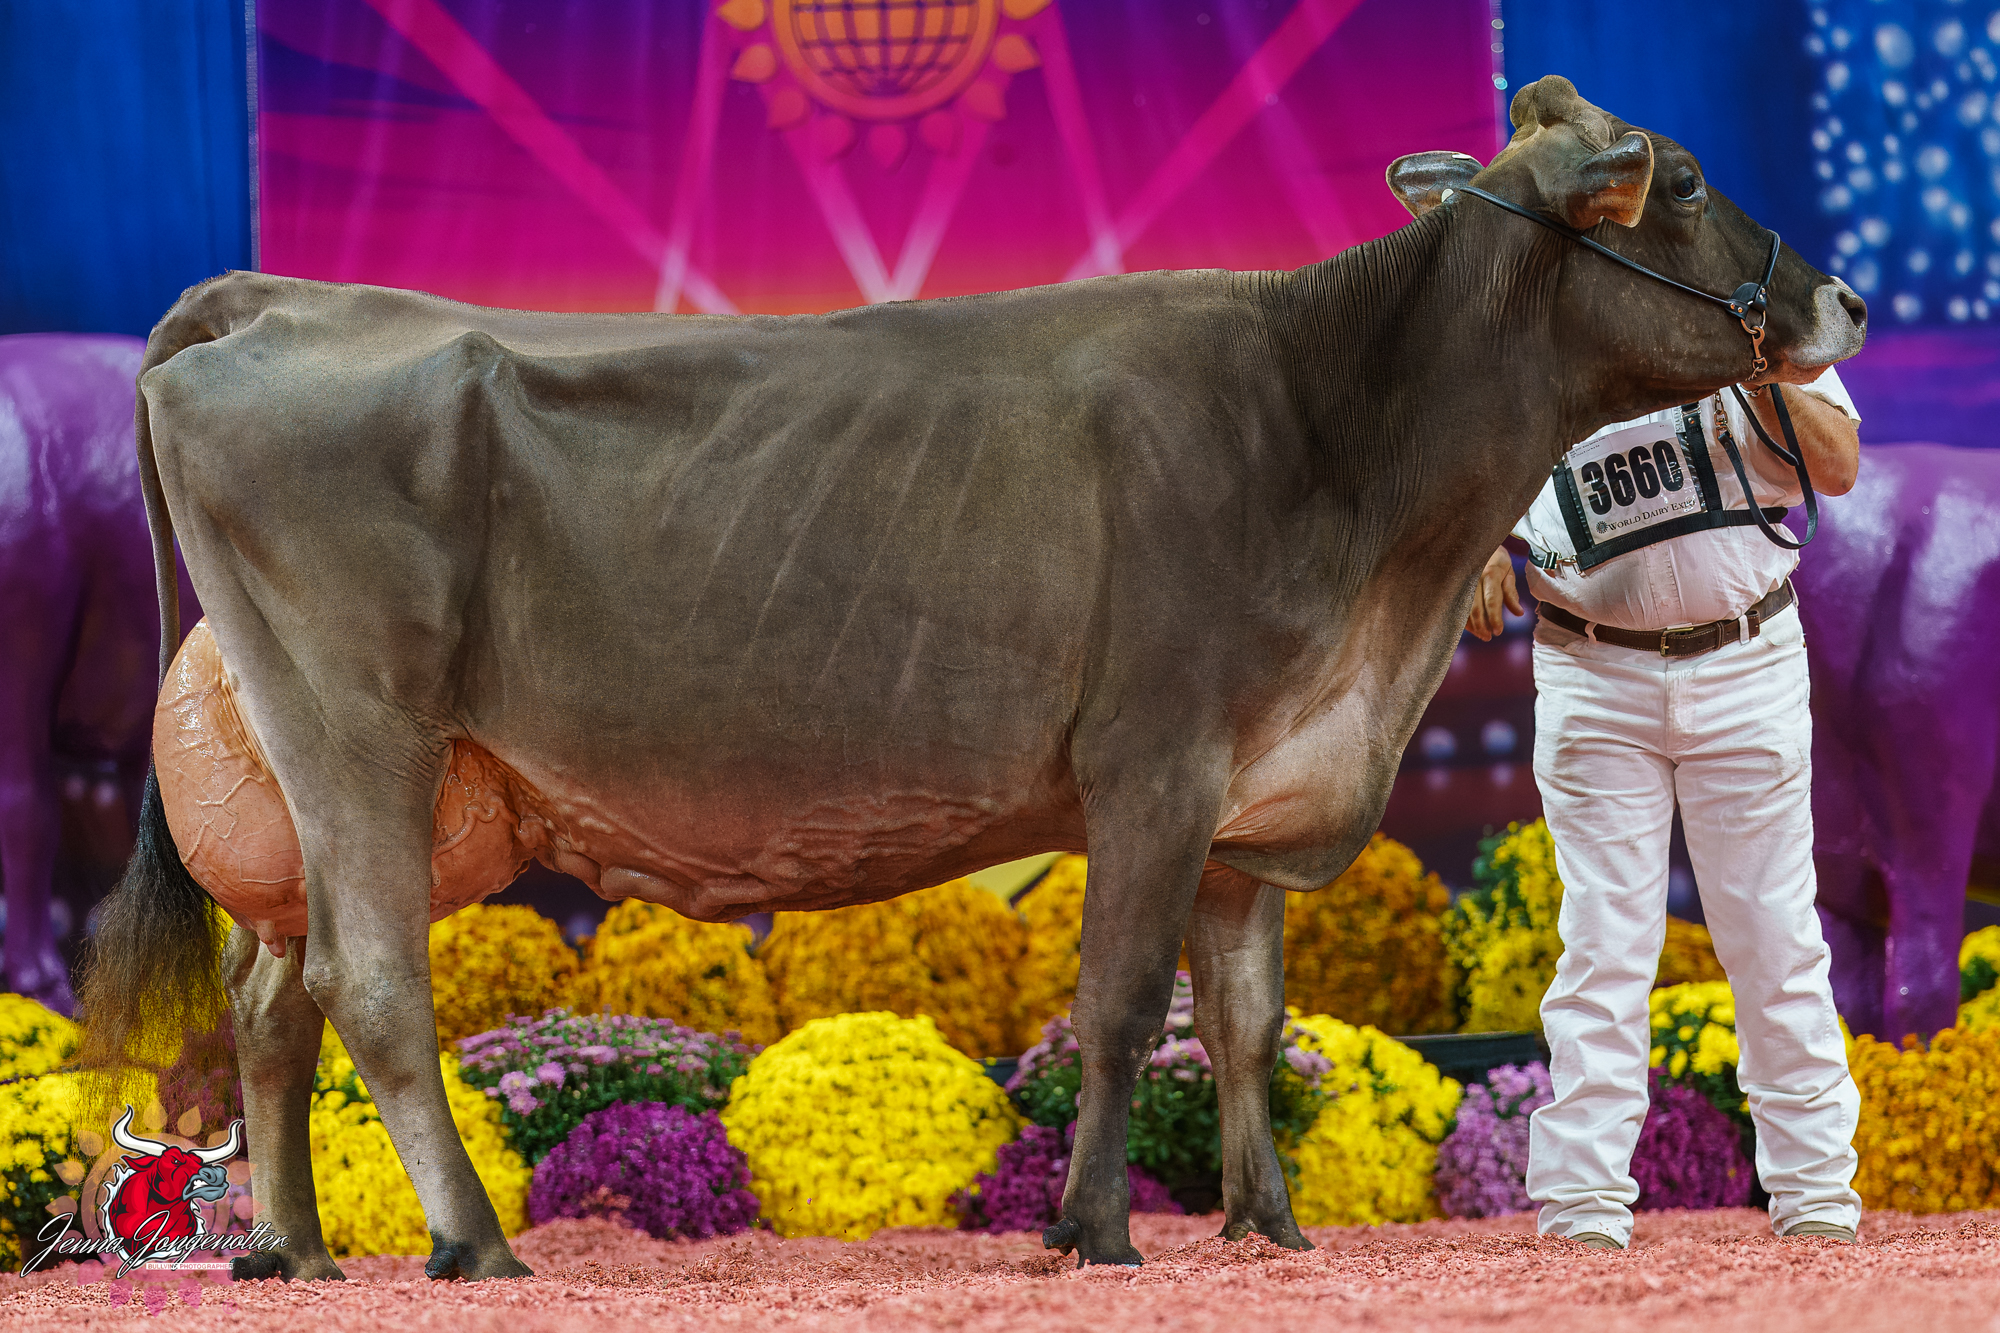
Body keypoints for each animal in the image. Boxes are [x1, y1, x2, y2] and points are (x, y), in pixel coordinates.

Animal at [78, 76, 1866, 1279]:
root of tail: (273, 299)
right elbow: (1122, 1002)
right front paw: (1097, 1228)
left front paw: (1268, 1224)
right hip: (359, 726)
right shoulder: (1154, 758)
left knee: (269, 1003)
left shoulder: (1253, 785)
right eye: (1685, 178)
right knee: (368, 985)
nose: (1840, 295)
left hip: (331, 786)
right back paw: (472, 1244)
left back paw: (295, 1250)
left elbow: (1248, 1015)